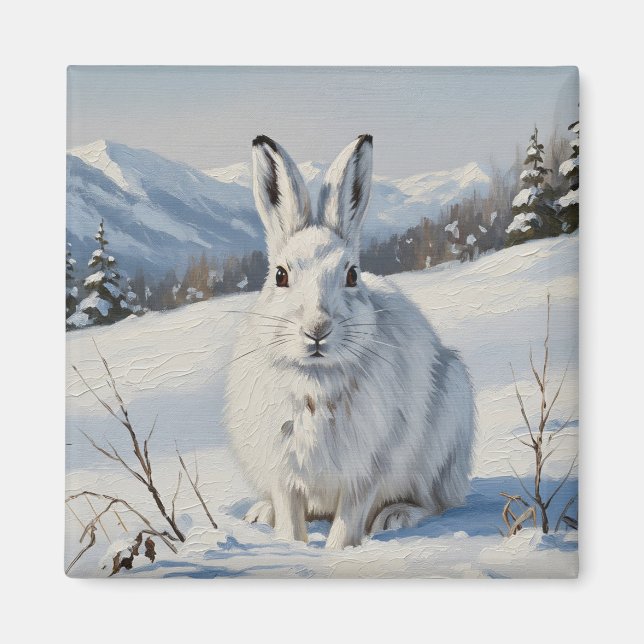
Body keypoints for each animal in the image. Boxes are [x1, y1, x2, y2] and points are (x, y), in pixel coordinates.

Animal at [224, 134, 475, 549]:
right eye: (279, 275)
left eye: (352, 275)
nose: (317, 328)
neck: (315, 379)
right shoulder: (283, 469)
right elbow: (291, 516)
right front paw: (291, 547)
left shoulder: (367, 465)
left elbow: (349, 518)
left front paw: (338, 552)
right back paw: (260, 513)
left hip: (441, 444)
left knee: (436, 502)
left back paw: (396, 517)